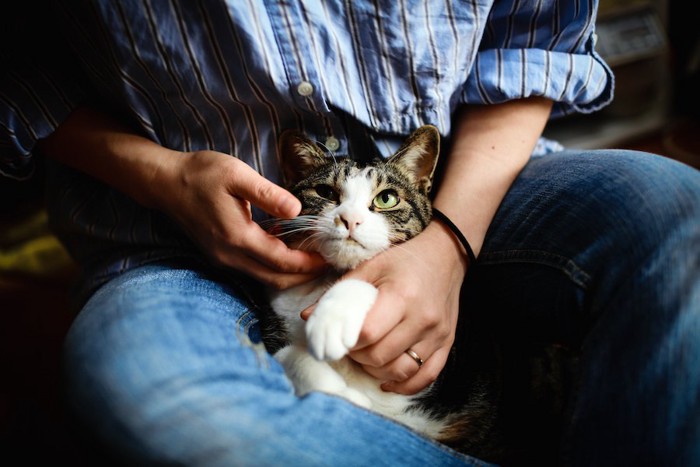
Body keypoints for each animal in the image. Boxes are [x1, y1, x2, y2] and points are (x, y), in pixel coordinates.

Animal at [260, 126, 506, 458]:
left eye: (386, 198)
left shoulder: (450, 358)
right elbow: (287, 355)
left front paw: (331, 320)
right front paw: (341, 392)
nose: (349, 219)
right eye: (325, 193)